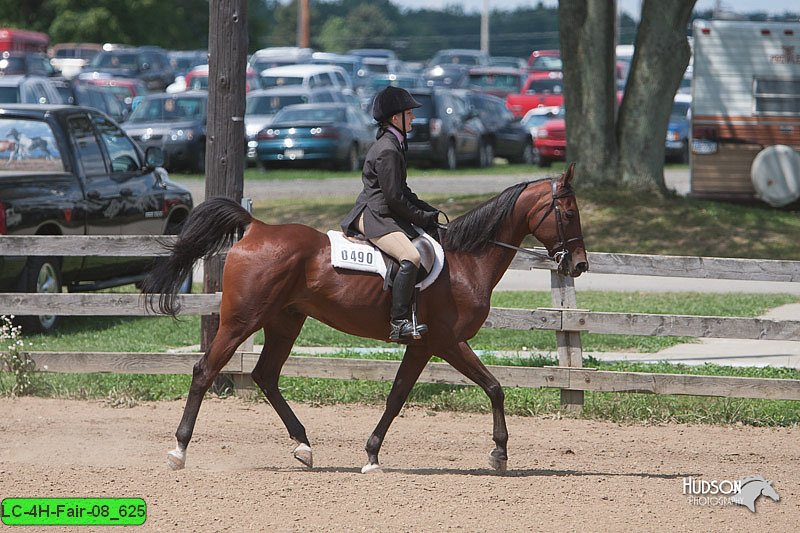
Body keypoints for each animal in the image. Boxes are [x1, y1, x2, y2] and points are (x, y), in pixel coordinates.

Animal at [144, 164, 588, 472]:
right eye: (568, 213)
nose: (580, 264)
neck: (466, 261)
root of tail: (256, 227)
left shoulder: (422, 346)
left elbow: (397, 396)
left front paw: (372, 454)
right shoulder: (446, 342)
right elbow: (494, 388)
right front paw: (499, 452)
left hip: (285, 322)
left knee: (265, 376)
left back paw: (303, 446)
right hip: (241, 321)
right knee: (204, 370)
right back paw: (179, 450)